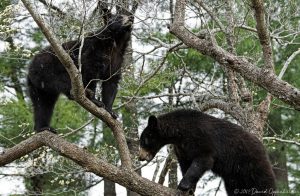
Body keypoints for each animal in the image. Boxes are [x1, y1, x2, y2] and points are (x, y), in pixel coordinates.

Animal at [139, 109, 276, 195]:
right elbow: (185, 164)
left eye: (144, 140)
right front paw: (190, 189)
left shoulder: (202, 139)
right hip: (234, 176)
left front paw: (183, 185)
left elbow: (203, 160)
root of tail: (263, 150)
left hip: (252, 164)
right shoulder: (182, 149)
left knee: (263, 184)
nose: (140, 157)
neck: (180, 133)